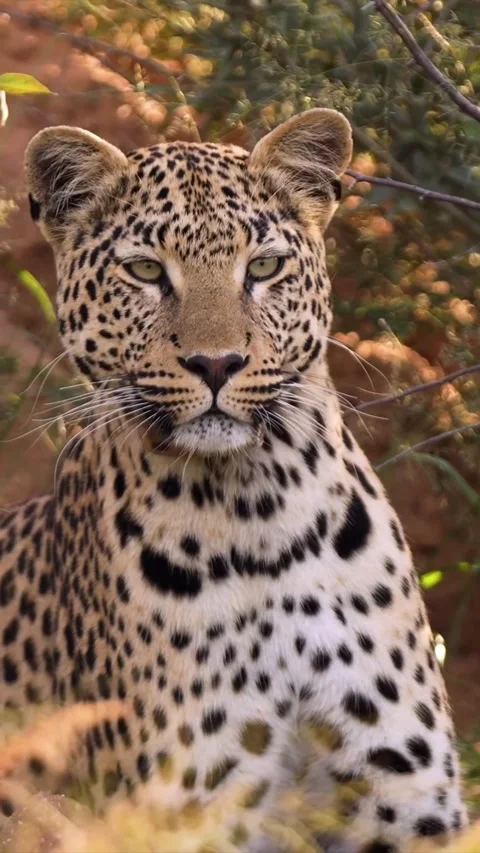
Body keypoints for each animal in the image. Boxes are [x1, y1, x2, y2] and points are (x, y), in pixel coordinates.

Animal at [0, 108, 467, 852]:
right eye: (145, 270)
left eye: (264, 266)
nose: (216, 363)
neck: (259, 510)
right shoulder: (190, 804)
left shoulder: (409, 795)